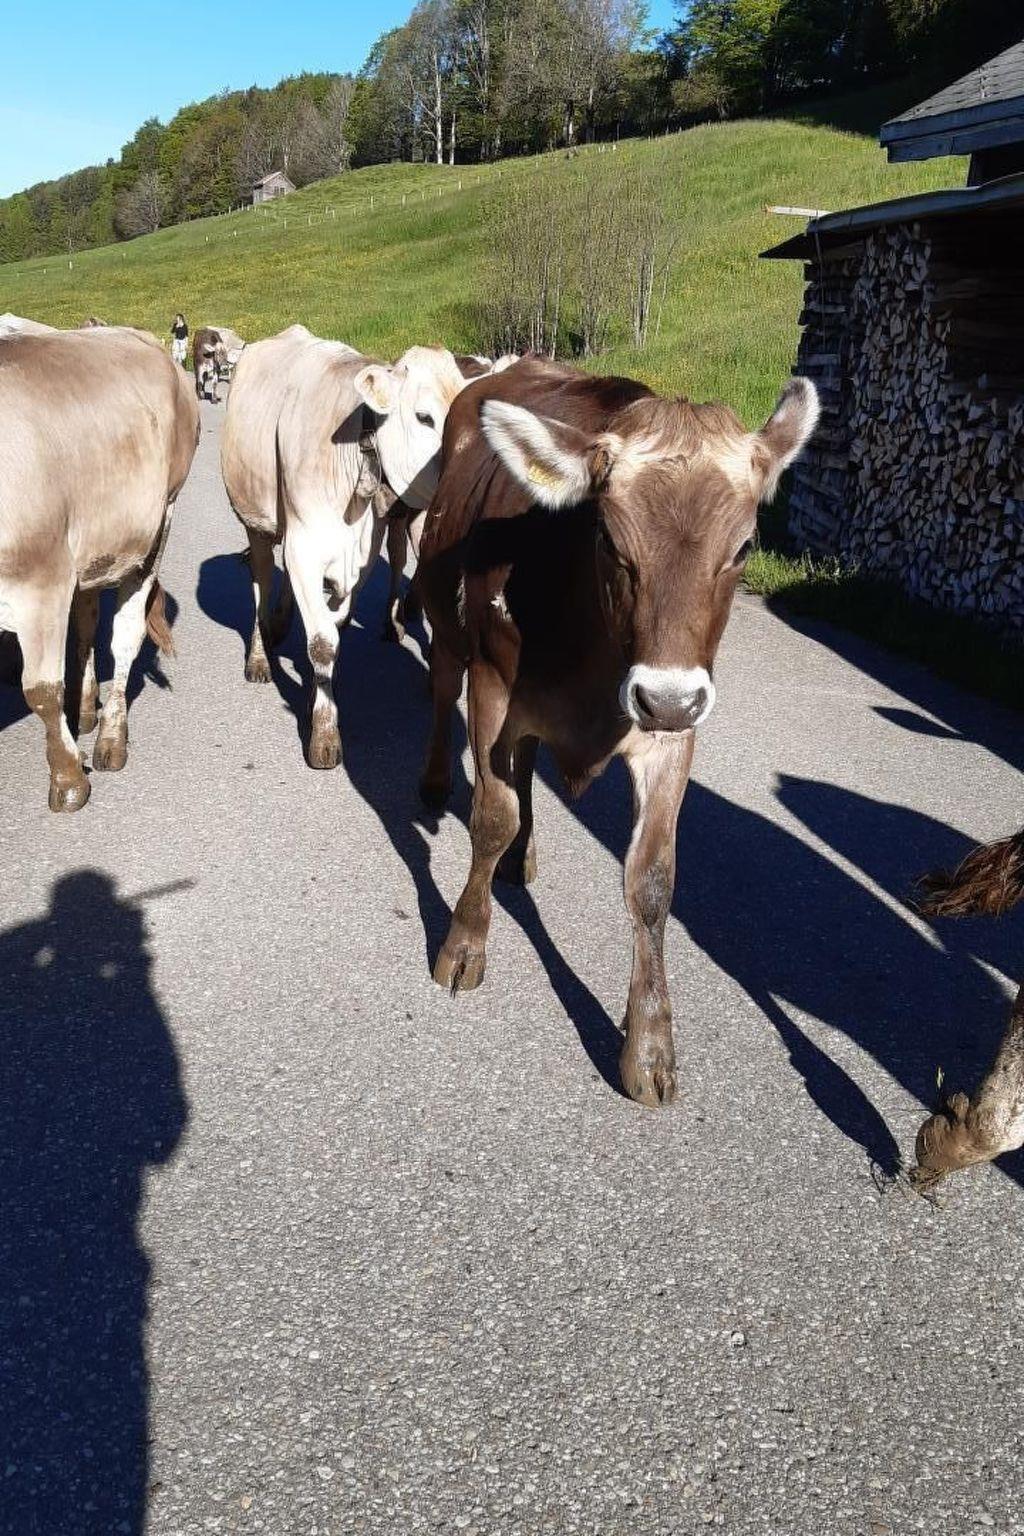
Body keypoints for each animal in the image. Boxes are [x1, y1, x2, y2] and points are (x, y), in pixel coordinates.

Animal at [0, 325, 199, 810]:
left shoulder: (42, 581)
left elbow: (41, 690)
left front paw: (69, 779)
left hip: (157, 526)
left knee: (125, 636)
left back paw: (111, 737)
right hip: (93, 547)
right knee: (87, 624)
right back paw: (87, 709)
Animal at [220, 325, 467, 766]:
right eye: (424, 417)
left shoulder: (361, 557)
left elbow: (334, 626)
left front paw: (315, 698)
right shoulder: (304, 547)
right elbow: (322, 643)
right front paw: (323, 732)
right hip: (256, 521)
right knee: (262, 580)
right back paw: (260, 654)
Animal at [416, 356, 818, 1107]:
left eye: (744, 546)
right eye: (607, 536)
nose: (665, 697)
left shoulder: (673, 732)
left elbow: (652, 879)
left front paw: (650, 1045)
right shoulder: (492, 687)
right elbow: (490, 817)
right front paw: (463, 942)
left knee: (525, 768)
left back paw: (524, 855)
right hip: (447, 626)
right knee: (440, 693)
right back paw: (434, 784)